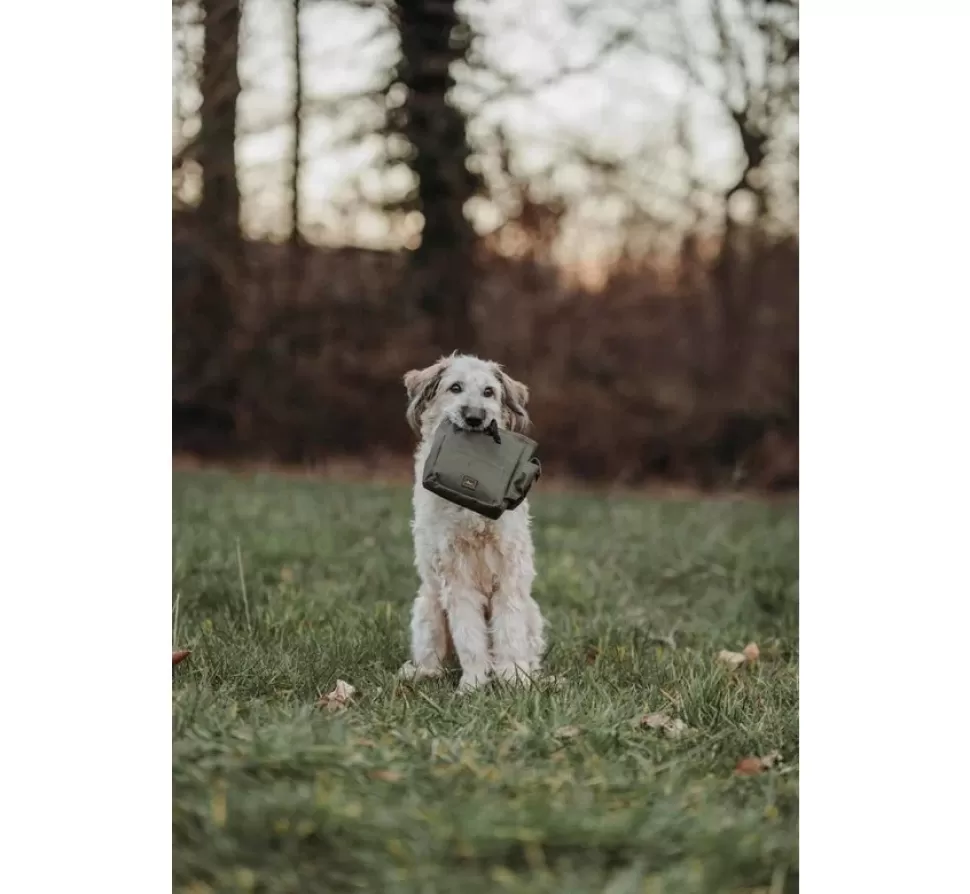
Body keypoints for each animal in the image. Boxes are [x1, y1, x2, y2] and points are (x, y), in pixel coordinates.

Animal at [396, 356, 544, 692]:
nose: (475, 417)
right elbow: (469, 636)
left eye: (489, 391)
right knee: (433, 657)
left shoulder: (509, 574)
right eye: (455, 387)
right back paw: (424, 673)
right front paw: (474, 684)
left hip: (533, 613)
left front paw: (513, 677)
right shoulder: (456, 576)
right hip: (428, 607)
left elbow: (509, 632)